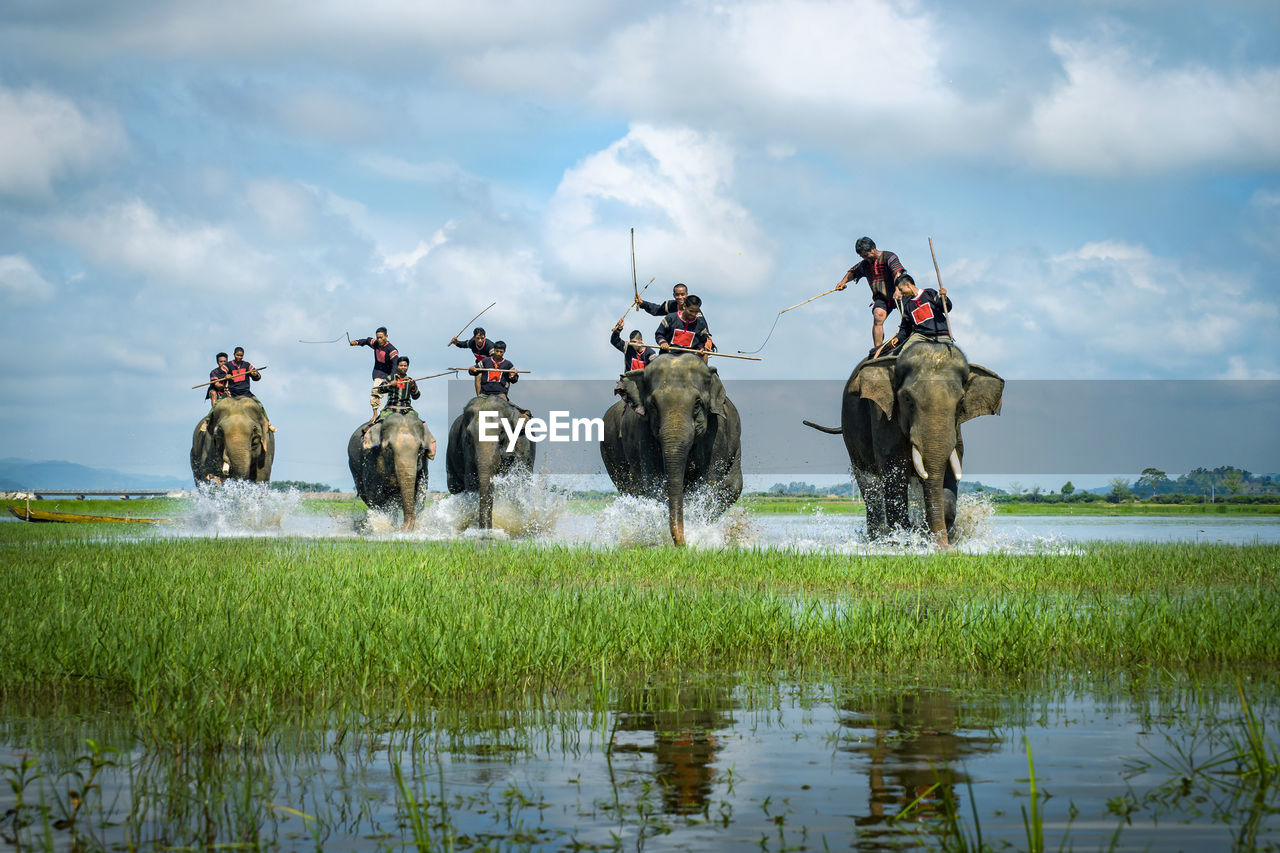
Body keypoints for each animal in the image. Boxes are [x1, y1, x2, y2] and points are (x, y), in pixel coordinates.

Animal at [445, 394, 535, 527]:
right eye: (469, 435)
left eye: (502, 432)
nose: (487, 528)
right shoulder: (466, 449)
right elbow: (471, 481)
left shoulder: (523, 443)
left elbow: (518, 480)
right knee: (454, 487)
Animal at [601, 350, 747, 545]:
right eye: (653, 405)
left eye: (697, 403)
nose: (683, 545)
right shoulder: (642, 433)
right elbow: (652, 481)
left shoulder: (718, 432)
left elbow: (709, 482)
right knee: (629, 488)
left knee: (732, 486)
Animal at [798, 338, 998, 545]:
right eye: (907, 399)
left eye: (961, 401)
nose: (943, 546)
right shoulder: (883, 414)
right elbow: (894, 475)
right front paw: (905, 540)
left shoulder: (955, 430)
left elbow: (950, 474)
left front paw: (926, 535)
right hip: (851, 431)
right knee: (869, 487)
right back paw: (877, 538)